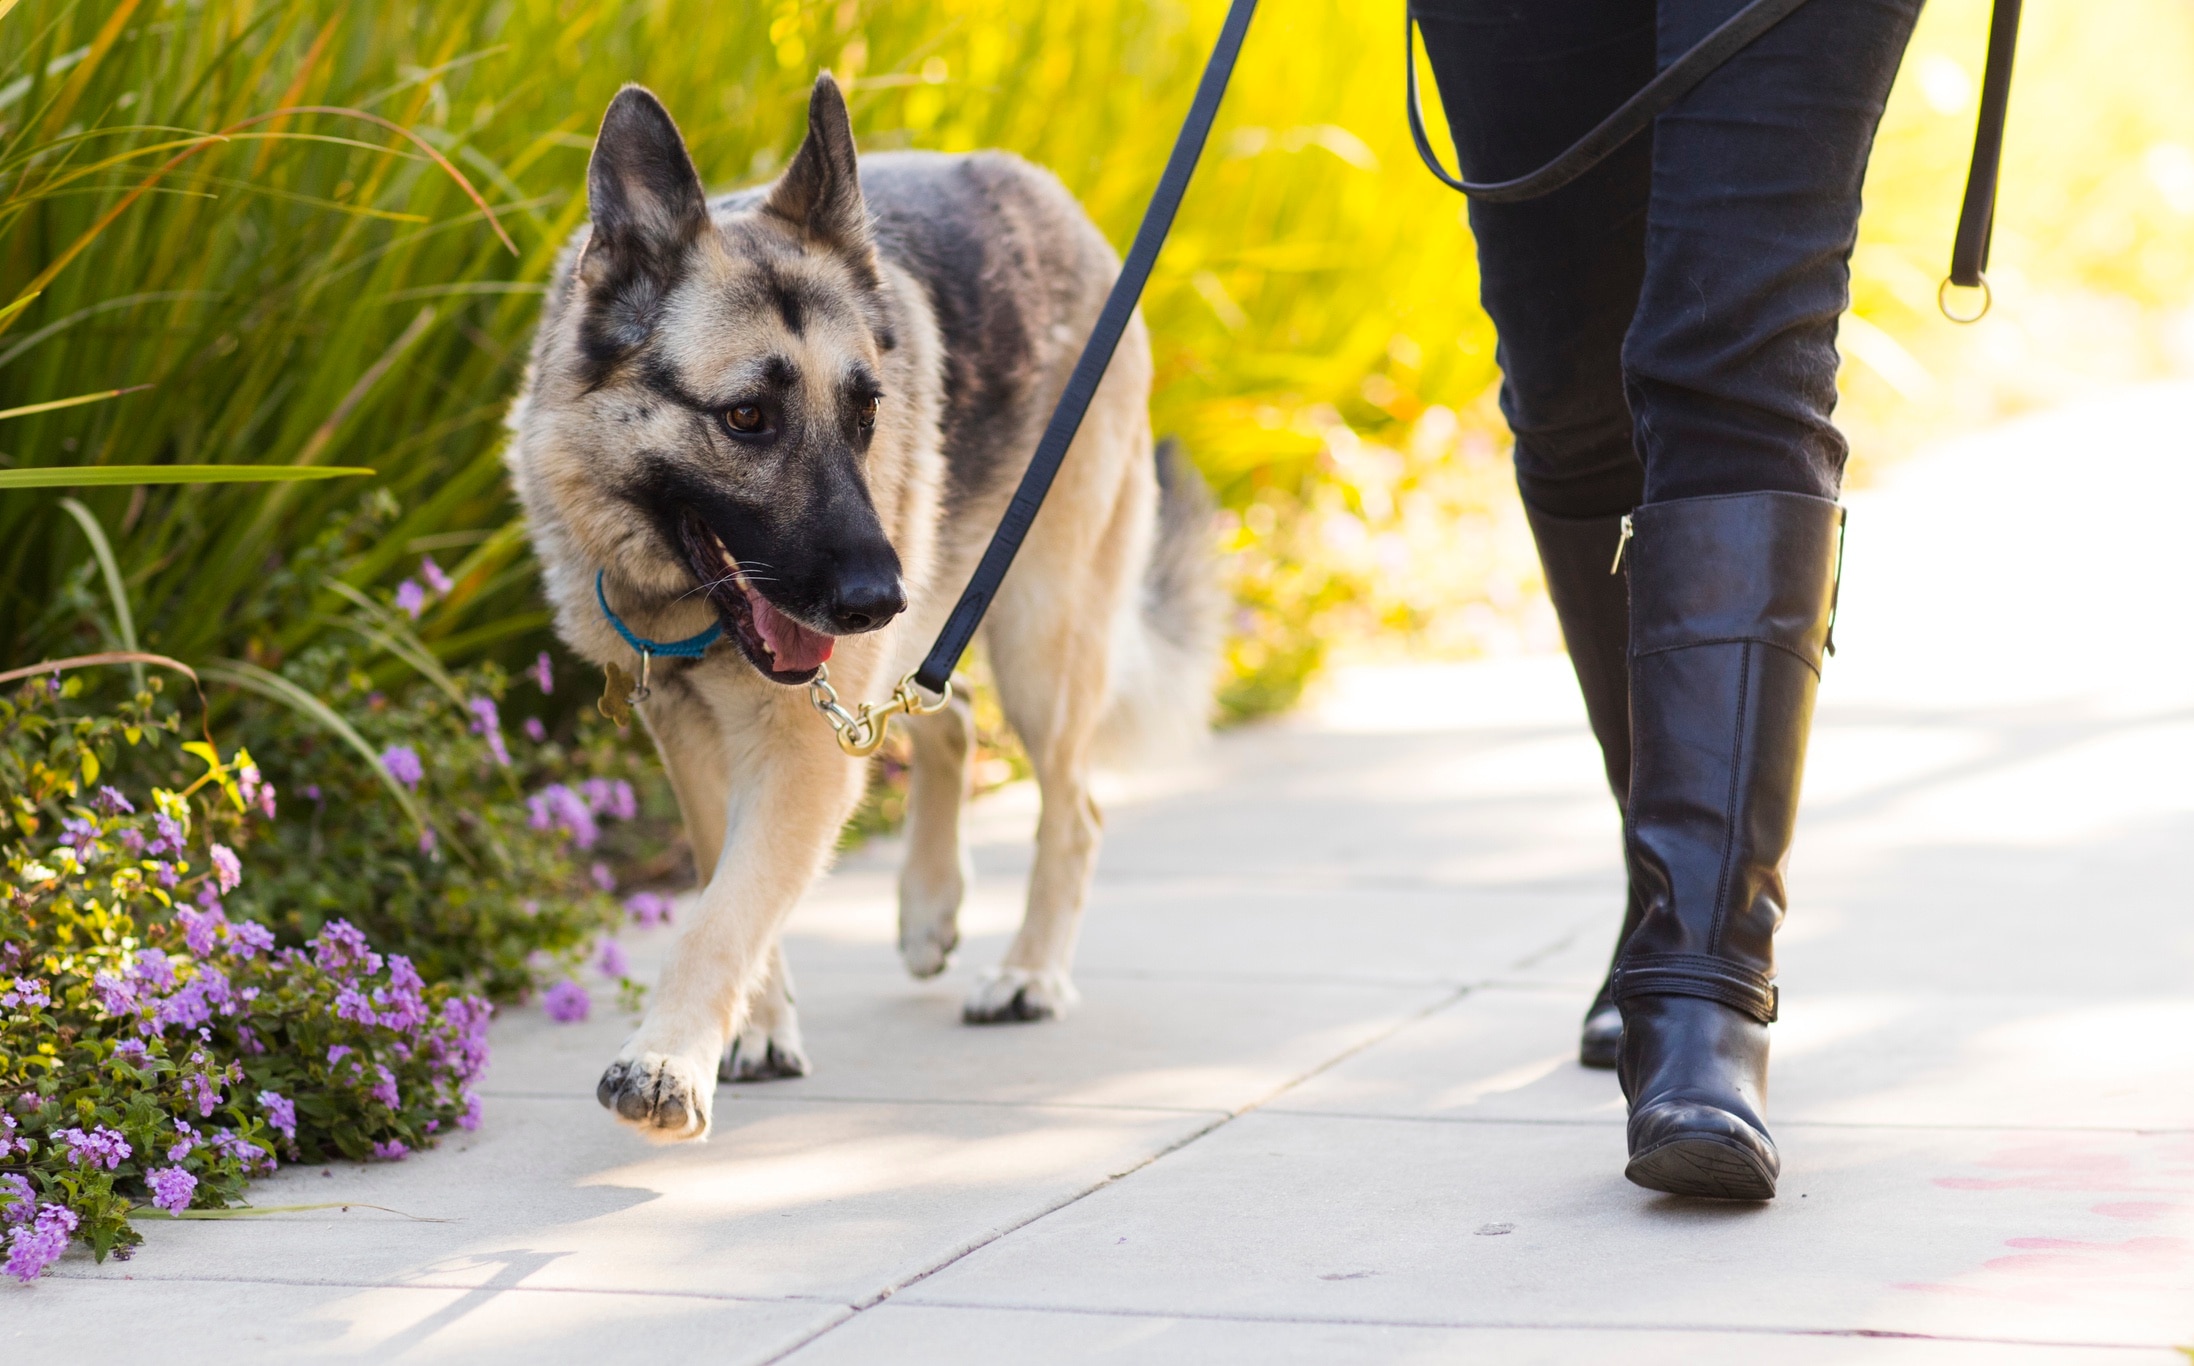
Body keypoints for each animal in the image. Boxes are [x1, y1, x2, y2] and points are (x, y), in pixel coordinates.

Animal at [504, 77, 1219, 1140]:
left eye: (866, 412)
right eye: (745, 418)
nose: (880, 600)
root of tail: (1046, 192)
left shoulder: (804, 747)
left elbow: (723, 913)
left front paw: (669, 1058)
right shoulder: (693, 732)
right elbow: (726, 882)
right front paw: (753, 1027)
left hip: (1040, 638)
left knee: (1074, 806)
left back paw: (1030, 973)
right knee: (949, 716)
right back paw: (930, 905)